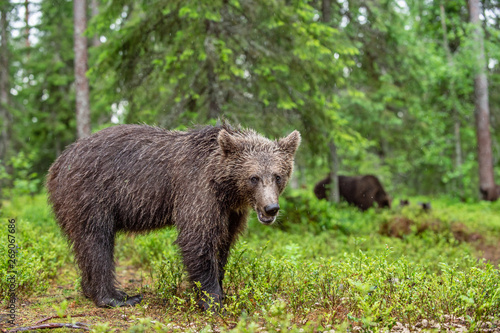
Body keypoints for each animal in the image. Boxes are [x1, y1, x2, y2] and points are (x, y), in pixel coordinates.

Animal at [46, 123, 300, 310]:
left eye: (277, 176)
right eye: (254, 177)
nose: (271, 208)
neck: (225, 187)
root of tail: (58, 163)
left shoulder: (230, 211)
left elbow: (223, 244)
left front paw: (222, 289)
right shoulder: (196, 189)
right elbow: (198, 239)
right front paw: (212, 300)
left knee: (84, 244)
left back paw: (89, 290)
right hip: (92, 194)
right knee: (97, 241)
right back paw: (117, 297)